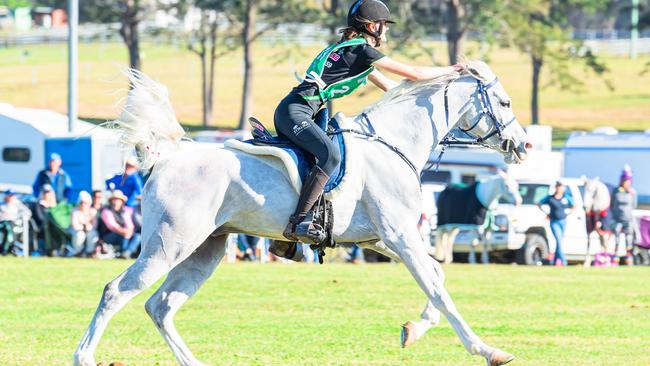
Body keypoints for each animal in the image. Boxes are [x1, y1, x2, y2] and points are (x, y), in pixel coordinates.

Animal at [74, 63, 528, 366]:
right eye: (504, 101)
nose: (523, 145)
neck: (392, 143)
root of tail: (167, 157)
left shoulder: (383, 239)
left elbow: (436, 276)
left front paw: (413, 330)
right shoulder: (400, 235)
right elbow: (439, 290)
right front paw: (487, 350)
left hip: (206, 249)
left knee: (161, 306)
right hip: (168, 245)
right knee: (117, 291)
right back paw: (85, 357)